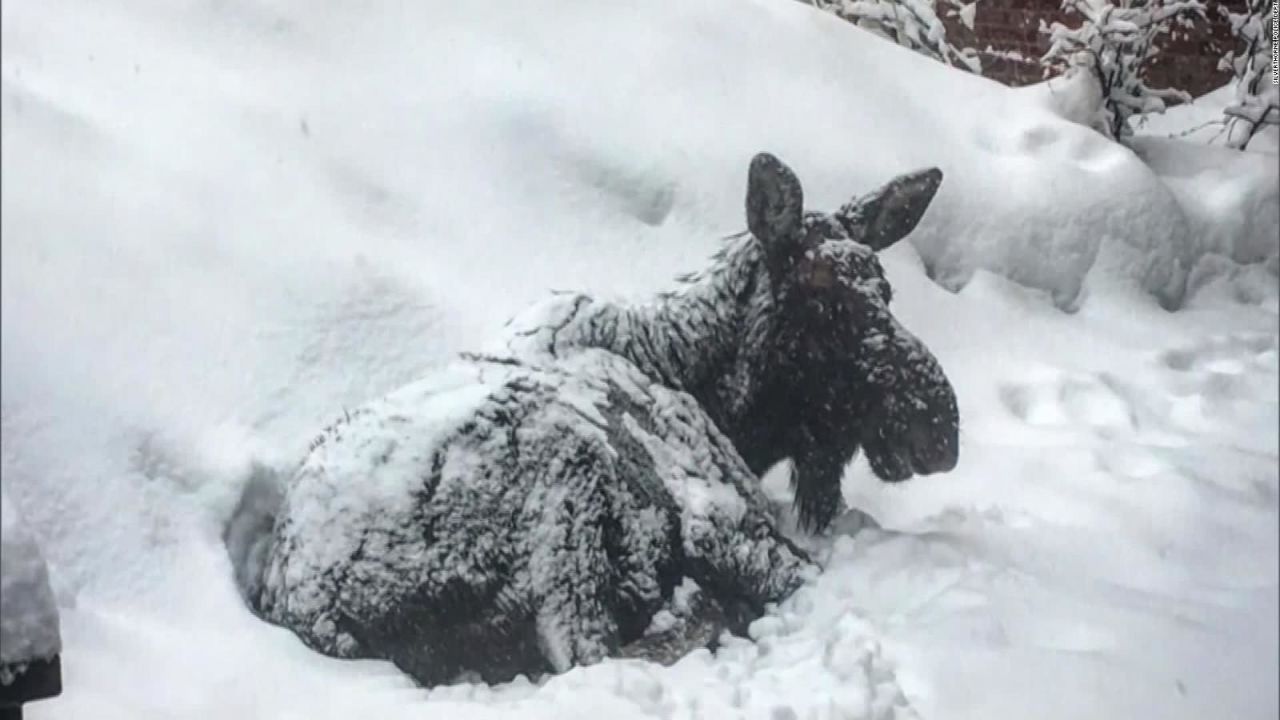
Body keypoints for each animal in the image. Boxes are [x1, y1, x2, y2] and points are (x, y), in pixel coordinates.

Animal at [225, 151, 957, 681]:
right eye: (825, 302)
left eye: (885, 289)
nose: (940, 430)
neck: (724, 400)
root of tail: (310, 611)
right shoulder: (729, 525)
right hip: (566, 480)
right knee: (589, 649)